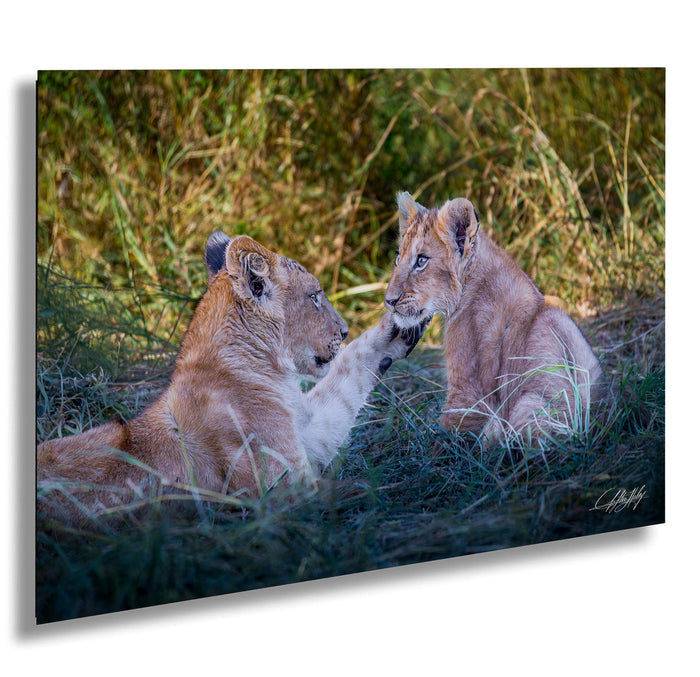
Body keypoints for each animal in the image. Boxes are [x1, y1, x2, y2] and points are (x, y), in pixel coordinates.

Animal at [38, 233, 425, 517]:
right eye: (315, 296)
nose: (343, 331)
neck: (271, 371)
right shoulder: (285, 491)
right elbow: (352, 487)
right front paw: (393, 485)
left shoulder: (304, 434)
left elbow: (346, 382)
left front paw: (398, 327)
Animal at [384, 192, 604, 444]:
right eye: (398, 258)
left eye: (421, 260)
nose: (389, 301)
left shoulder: (467, 393)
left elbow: (441, 437)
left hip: (528, 408)